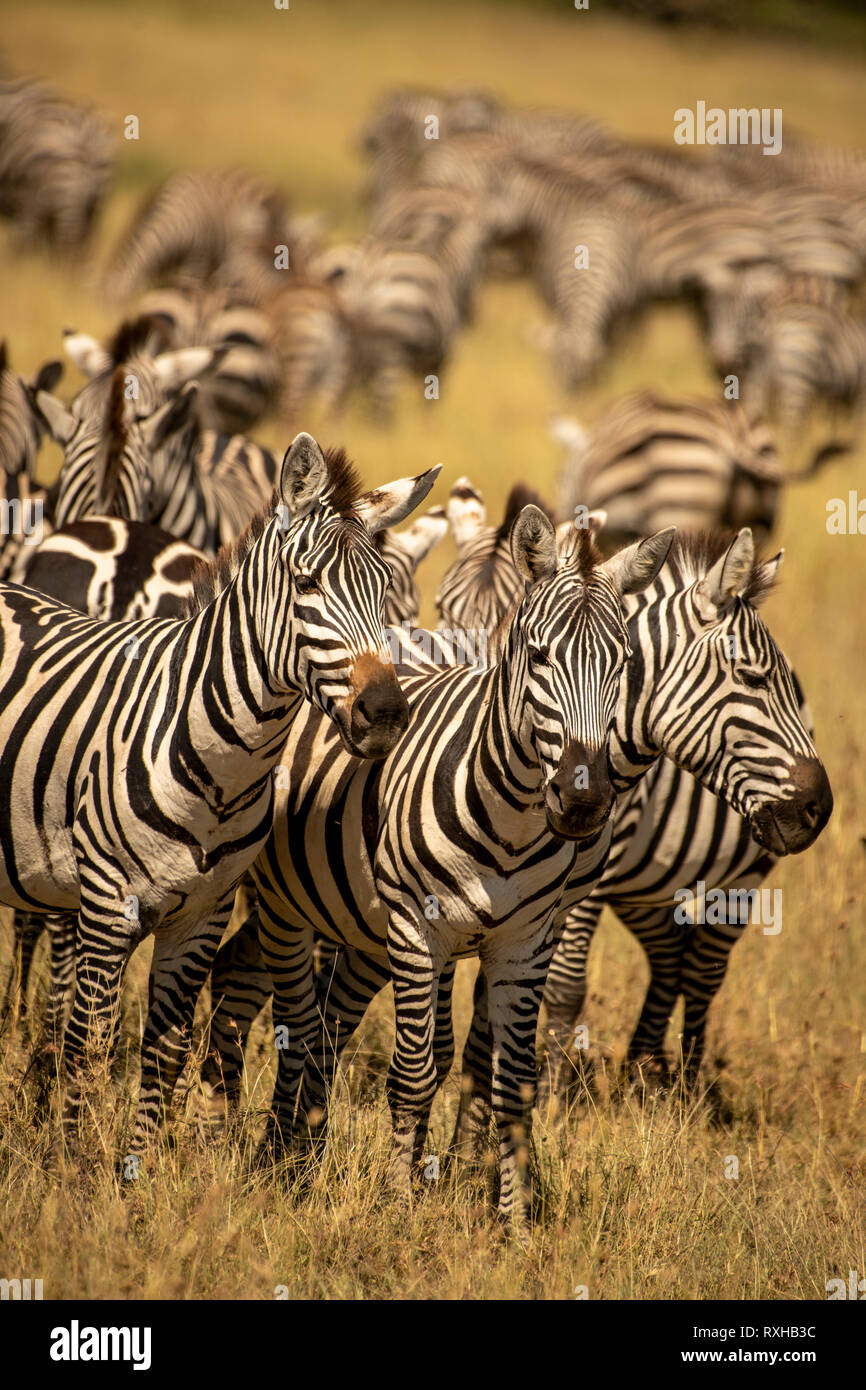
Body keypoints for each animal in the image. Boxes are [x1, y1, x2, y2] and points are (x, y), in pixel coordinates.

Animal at [0, 434, 438, 1158]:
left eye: (385, 595)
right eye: (307, 584)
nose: (385, 713)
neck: (223, 768)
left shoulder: (204, 912)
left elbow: (165, 1052)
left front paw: (137, 1168)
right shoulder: (105, 902)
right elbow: (89, 1044)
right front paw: (75, 1165)